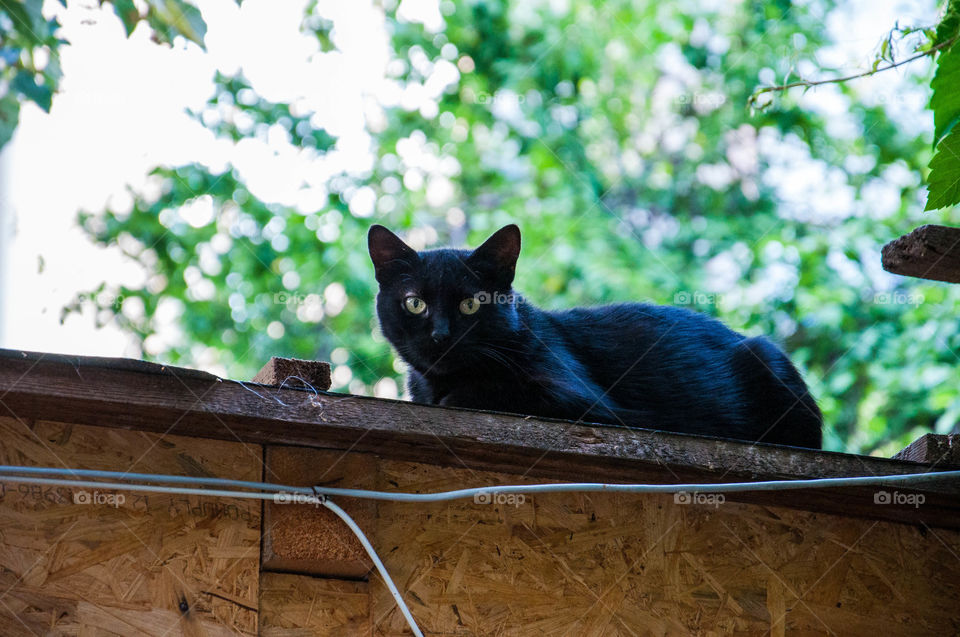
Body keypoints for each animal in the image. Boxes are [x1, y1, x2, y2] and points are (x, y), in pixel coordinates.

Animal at [372, 224, 820, 448]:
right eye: (415, 303)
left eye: (471, 304)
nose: (440, 334)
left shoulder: (584, 400)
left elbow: (491, 391)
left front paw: (456, 396)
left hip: (765, 353)